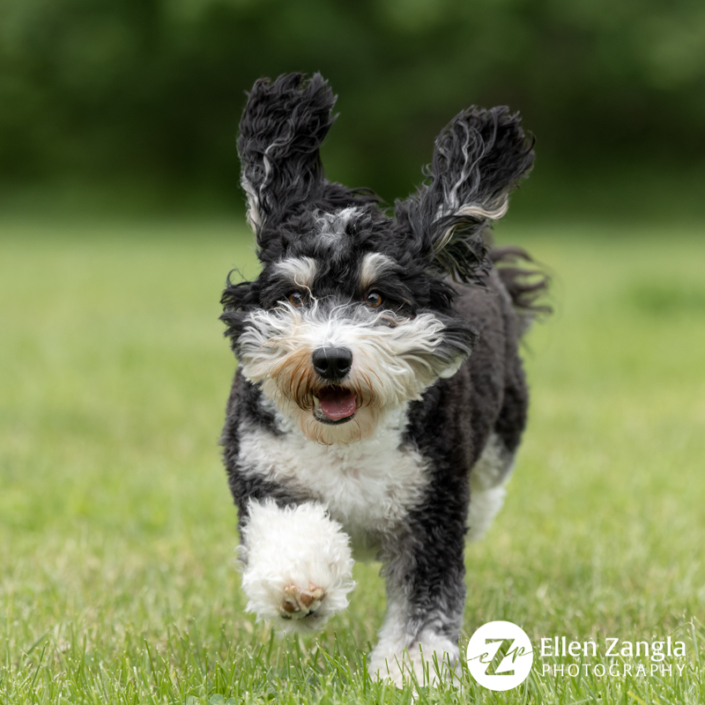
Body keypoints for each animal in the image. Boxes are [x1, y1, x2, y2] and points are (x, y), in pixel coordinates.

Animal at [217, 74, 548, 684]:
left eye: (376, 299)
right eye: (295, 296)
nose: (330, 359)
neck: (347, 440)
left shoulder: (432, 504)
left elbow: (425, 594)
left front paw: (412, 666)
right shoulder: (265, 474)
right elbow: (289, 533)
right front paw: (301, 588)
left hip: (500, 434)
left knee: (489, 488)